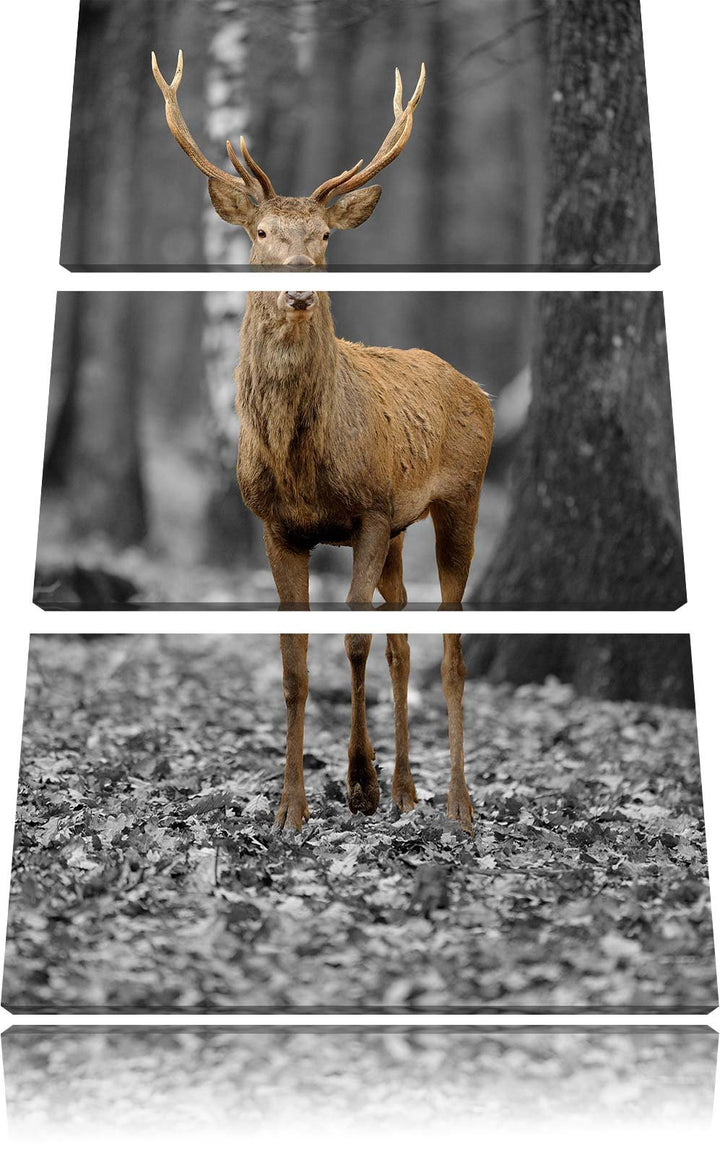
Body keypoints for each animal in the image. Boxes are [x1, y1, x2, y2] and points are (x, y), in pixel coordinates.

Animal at [152, 52, 493, 835]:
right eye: (261, 233)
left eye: (326, 238)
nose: (300, 291)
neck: (300, 461)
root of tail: (477, 389)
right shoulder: (279, 526)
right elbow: (294, 662)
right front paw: (292, 806)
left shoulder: (366, 511)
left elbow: (352, 640)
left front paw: (357, 785)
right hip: (401, 528)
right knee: (403, 637)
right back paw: (408, 789)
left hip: (461, 494)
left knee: (450, 643)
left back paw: (456, 802)